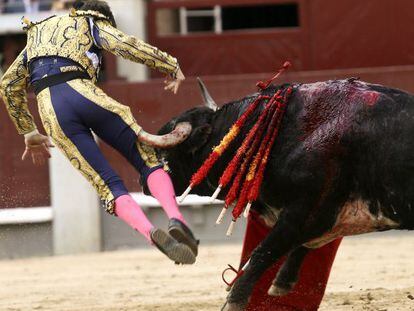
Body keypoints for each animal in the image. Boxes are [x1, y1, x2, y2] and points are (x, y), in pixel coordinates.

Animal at [152, 77, 414, 310]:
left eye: (166, 153)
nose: (146, 180)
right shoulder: (319, 219)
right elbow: (294, 247)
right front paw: (281, 284)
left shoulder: (306, 211)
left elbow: (261, 253)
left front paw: (233, 302)